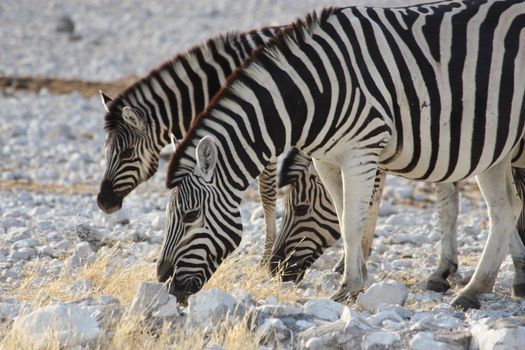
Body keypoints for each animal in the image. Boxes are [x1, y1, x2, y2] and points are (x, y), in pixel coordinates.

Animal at [94, 28, 282, 262]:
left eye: (127, 153)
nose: (102, 202)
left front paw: (265, 260)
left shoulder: (266, 139)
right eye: (105, 150)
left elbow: (266, 195)